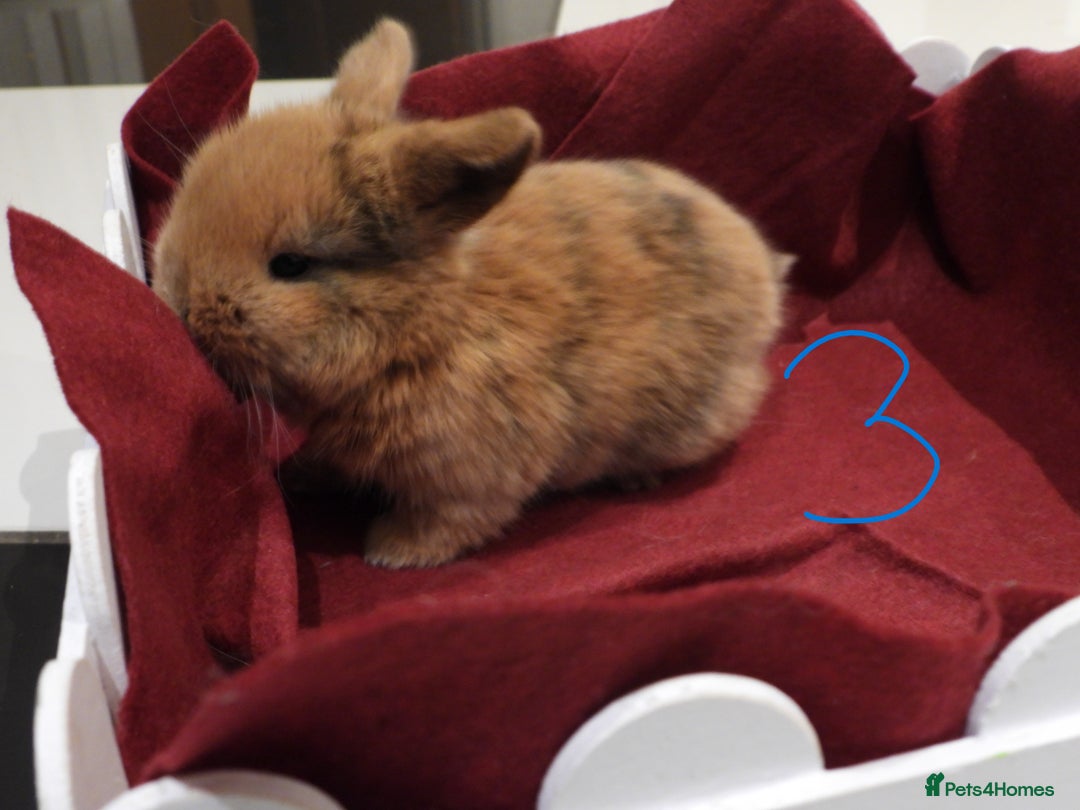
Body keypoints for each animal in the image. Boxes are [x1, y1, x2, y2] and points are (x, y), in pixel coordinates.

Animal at [151, 18, 790, 568]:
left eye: (290, 265)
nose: (178, 306)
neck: (422, 330)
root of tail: (765, 271)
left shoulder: (469, 476)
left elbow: (451, 520)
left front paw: (391, 552)